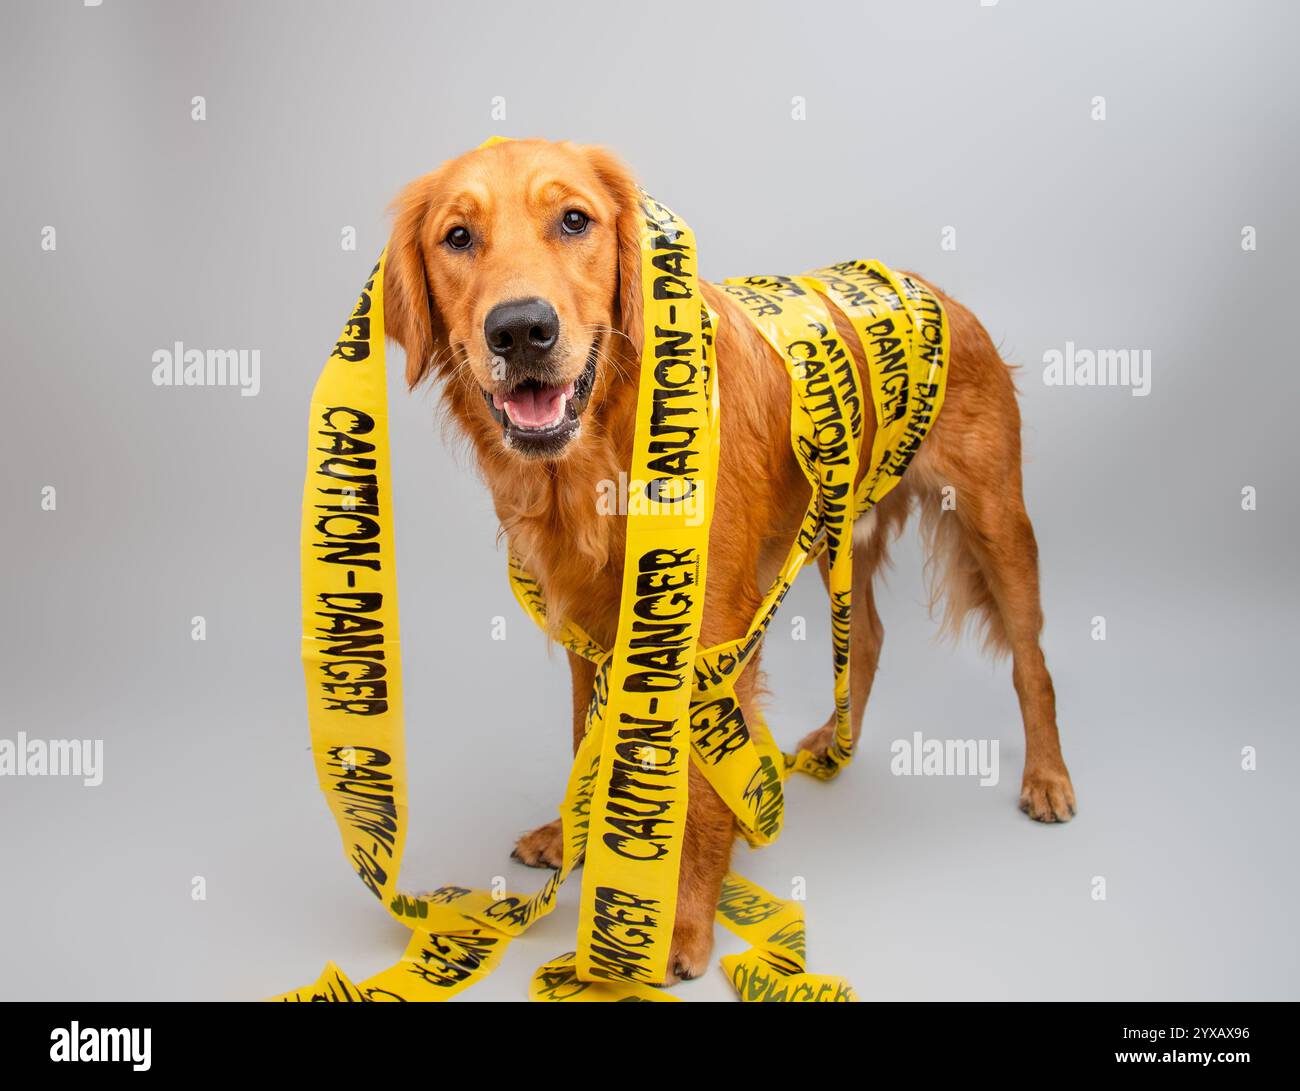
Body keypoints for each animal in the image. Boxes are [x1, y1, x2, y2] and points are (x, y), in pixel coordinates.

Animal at [379, 141, 1071, 983]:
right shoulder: (590, 629)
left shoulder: (708, 634)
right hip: (837, 527)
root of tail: (924, 285)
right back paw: (834, 744)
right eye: (457, 237)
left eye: (574, 220)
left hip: (996, 520)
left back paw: (1047, 776)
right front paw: (577, 838)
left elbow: (703, 790)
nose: (520, 330)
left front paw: (680, 920)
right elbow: (587, 737)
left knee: (1031, 660)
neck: (609, 443)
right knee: (869, 635)